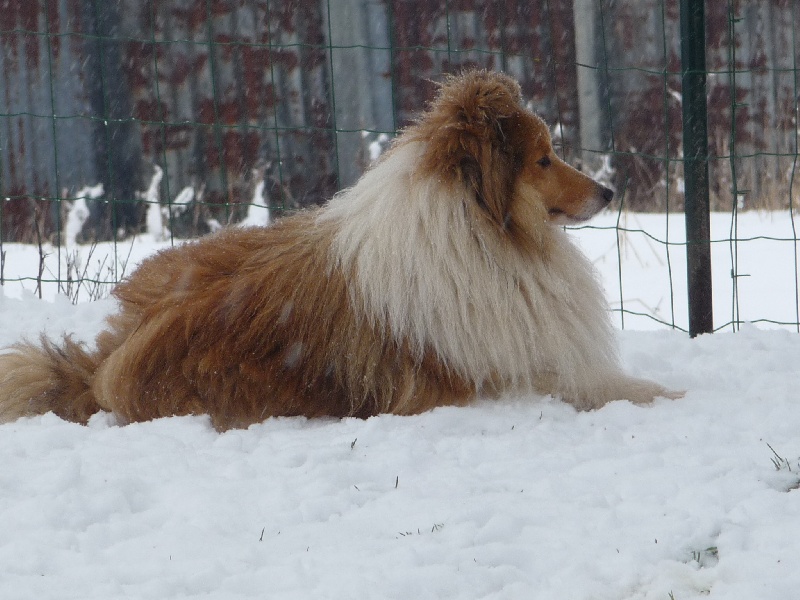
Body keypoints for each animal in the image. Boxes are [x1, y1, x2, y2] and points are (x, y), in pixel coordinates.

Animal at [0, 70, 680, 428]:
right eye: (543, 159)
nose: (609, 190)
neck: (480, 229)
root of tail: (99, 369)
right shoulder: (512, 380)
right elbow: (615, 387)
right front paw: (674, 397)